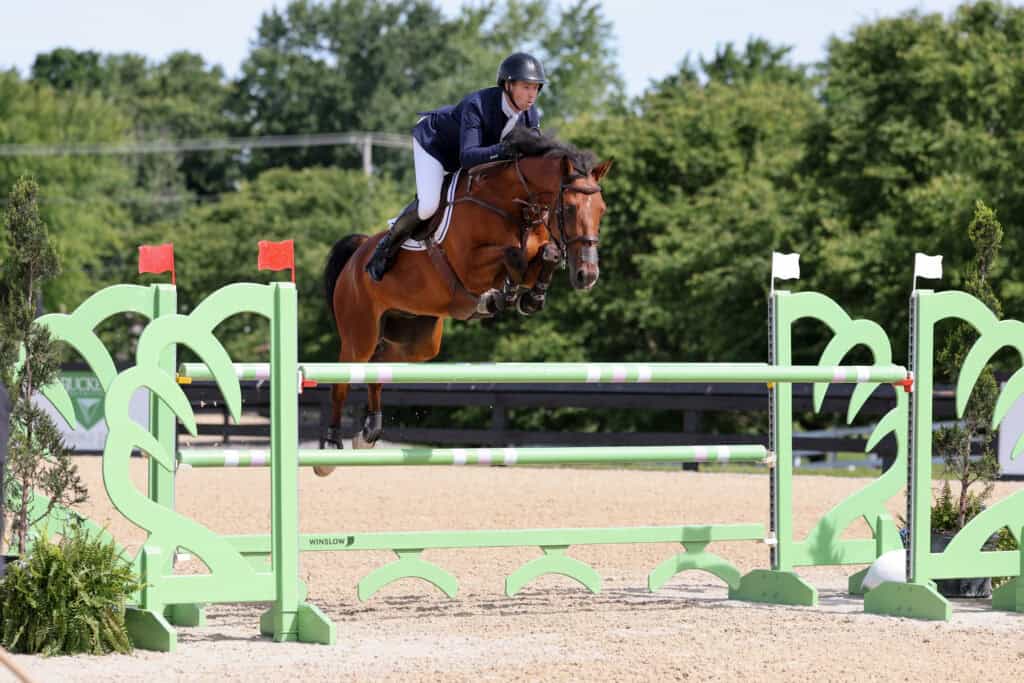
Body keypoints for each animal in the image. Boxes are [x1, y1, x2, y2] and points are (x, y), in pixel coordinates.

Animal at [315, 128, 612, 476]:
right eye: (569, 209)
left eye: (602, 209)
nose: (587, 275)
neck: (510, 204)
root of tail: (358, 254)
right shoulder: (469, 266)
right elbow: (512, 254)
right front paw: (500, 295)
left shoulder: (535, 252)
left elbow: (546, 254)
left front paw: (528, 298)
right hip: (359, 333)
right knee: (344, 377)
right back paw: (329, 448)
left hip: (417, 339)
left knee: (380, 363)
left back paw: (368, 432)